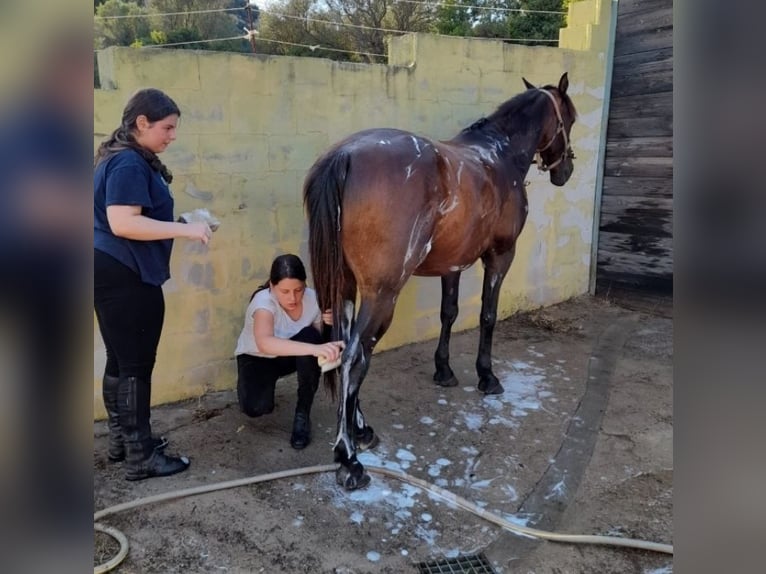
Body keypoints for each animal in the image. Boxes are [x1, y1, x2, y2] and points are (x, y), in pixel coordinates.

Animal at [304, 74, 580, 492]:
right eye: (572, 118)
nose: (566, 172)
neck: (499, 155)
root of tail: (345, 155)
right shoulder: (501, 256)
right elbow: (487, 316)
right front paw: (487, 376)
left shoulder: (453, 266)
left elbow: (448, 314)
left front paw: (444, 370)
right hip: (381, 294)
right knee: (355, 357)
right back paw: (348, 457)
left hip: (346, 287)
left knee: (341, 349)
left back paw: (360, 429)